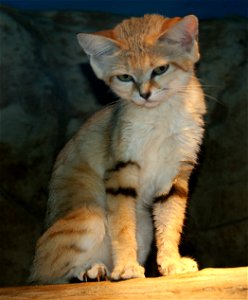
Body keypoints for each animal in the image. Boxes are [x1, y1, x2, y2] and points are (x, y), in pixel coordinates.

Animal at [29, 13, 205, 284]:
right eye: (125, 77)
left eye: (160, 69)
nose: (144, 95)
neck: (160, 116)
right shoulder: (121, 172)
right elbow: (122, 228)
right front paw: (126, 268)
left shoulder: (176, 174)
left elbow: (171, 222)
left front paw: (171, 263)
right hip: (90, 217)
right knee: (45, 277)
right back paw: (91, 271)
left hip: (144, 227)